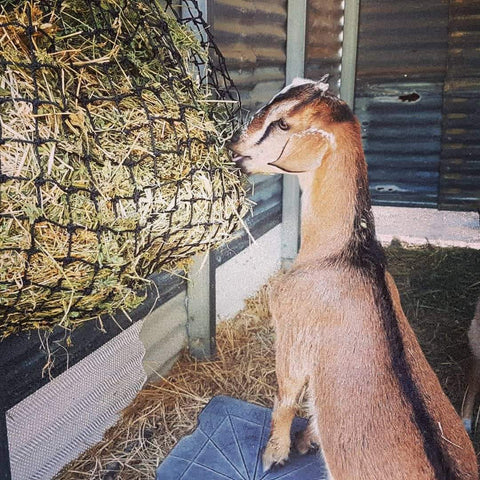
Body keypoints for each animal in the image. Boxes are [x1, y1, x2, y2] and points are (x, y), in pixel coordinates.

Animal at [228, 77, 476, 478]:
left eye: (283, 124)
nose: (235, 145)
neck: (343, 254)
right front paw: (308, 440)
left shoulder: (292, 333)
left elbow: (285, 398)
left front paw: (274, 454)